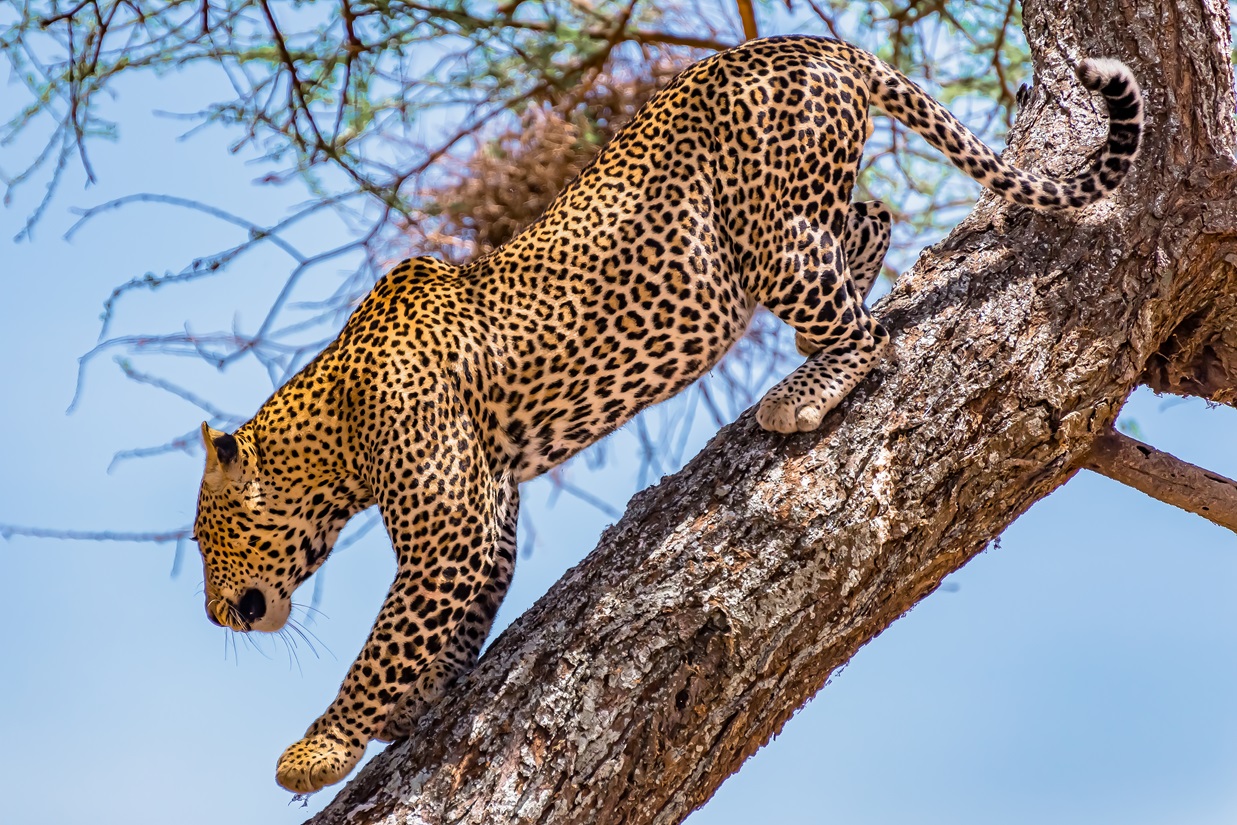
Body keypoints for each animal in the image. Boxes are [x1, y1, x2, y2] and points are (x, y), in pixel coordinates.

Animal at [188, 33, 1142, 791]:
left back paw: (801, 392)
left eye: (203, 541)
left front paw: (319, 747)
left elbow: (386, 641)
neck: (334, 433)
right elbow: (458, 617)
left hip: (768, 234)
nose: (210, 615)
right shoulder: (488, 508)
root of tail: (812, 42)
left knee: (865, 327)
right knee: (871, 216)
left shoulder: (449, 522)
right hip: (801, 213)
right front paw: (423, 699)